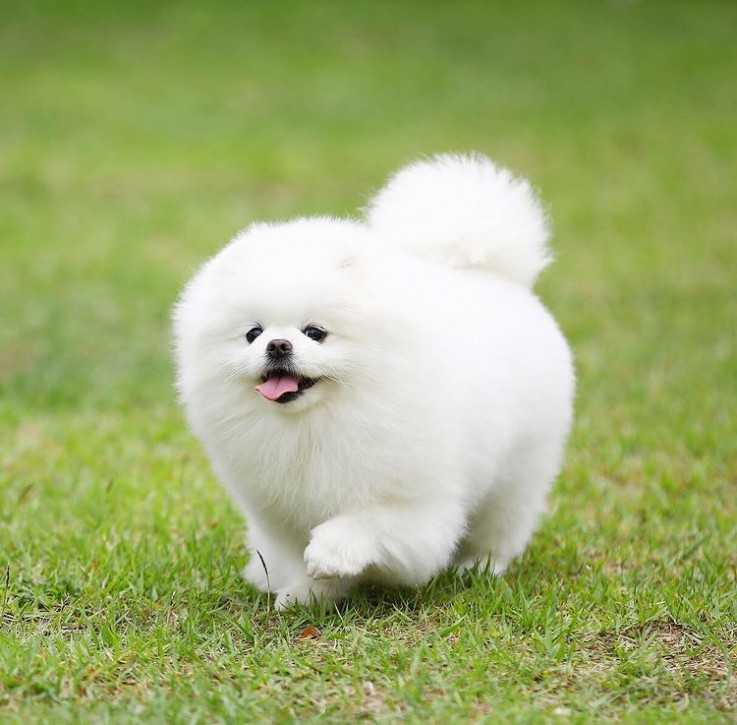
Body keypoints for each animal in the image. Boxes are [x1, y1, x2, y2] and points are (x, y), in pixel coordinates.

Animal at [174, 156, 576, 608]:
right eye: (253, 334)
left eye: (315, 333)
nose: (277, 345)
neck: (316, 424)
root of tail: (493, 275)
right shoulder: (280, 513)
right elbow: (295, 555)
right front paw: (308, 593)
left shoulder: (416, 506)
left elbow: (369, 523)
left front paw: (331, 553)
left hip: (519, 470)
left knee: (501, 526)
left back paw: (480, 567)